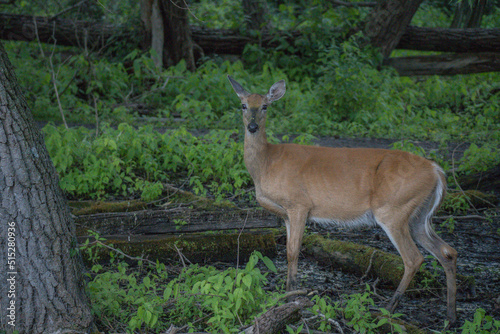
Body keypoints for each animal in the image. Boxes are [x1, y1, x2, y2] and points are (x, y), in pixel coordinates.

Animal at [229, 75, 458, 324]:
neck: (266, 164)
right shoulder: (287, 214)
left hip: (393, 208)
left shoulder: (299, 204)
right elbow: (290, 252)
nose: (252, 127)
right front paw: (289, 294)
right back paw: (450, 316)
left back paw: (387, 309)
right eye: (243, 105)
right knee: (447, 251)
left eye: (265, 106)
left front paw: (292, 298)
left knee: (414, 258)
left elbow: (293, 251)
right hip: (418, 215)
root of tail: (437, 171)